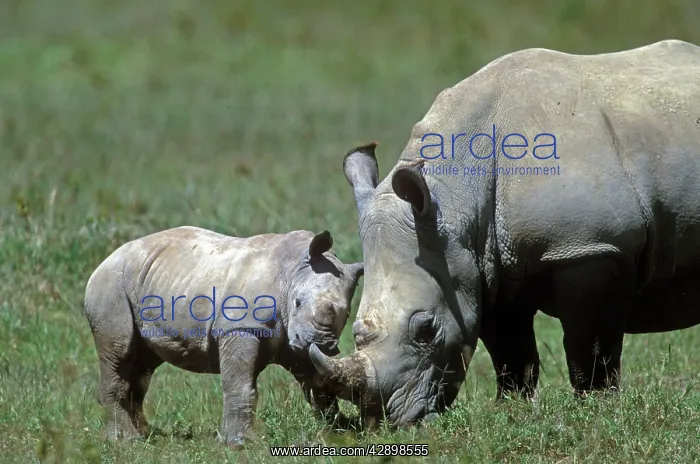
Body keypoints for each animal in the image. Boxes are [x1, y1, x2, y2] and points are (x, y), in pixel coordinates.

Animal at [83, 226, 363, 446]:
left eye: (347, 314)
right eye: (297, 302)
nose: (322, 343)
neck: (293, 268)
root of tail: (105, 260)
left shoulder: (295, 340)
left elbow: (318, 385)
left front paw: (341, 431)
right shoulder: (240, 327)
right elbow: (239, 384)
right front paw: (239, 444)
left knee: (143, 366)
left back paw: (147, 434)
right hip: (111, 286)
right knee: (120, 354)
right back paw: (125, 440)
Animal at [308, 39, 700, 427]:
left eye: (426, 329)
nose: (387, 421)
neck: (455, 201)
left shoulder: (591, 245)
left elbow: (590, 346)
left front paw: (596, 408)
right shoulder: (484, 260)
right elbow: (510, 349)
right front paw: (510, 408)